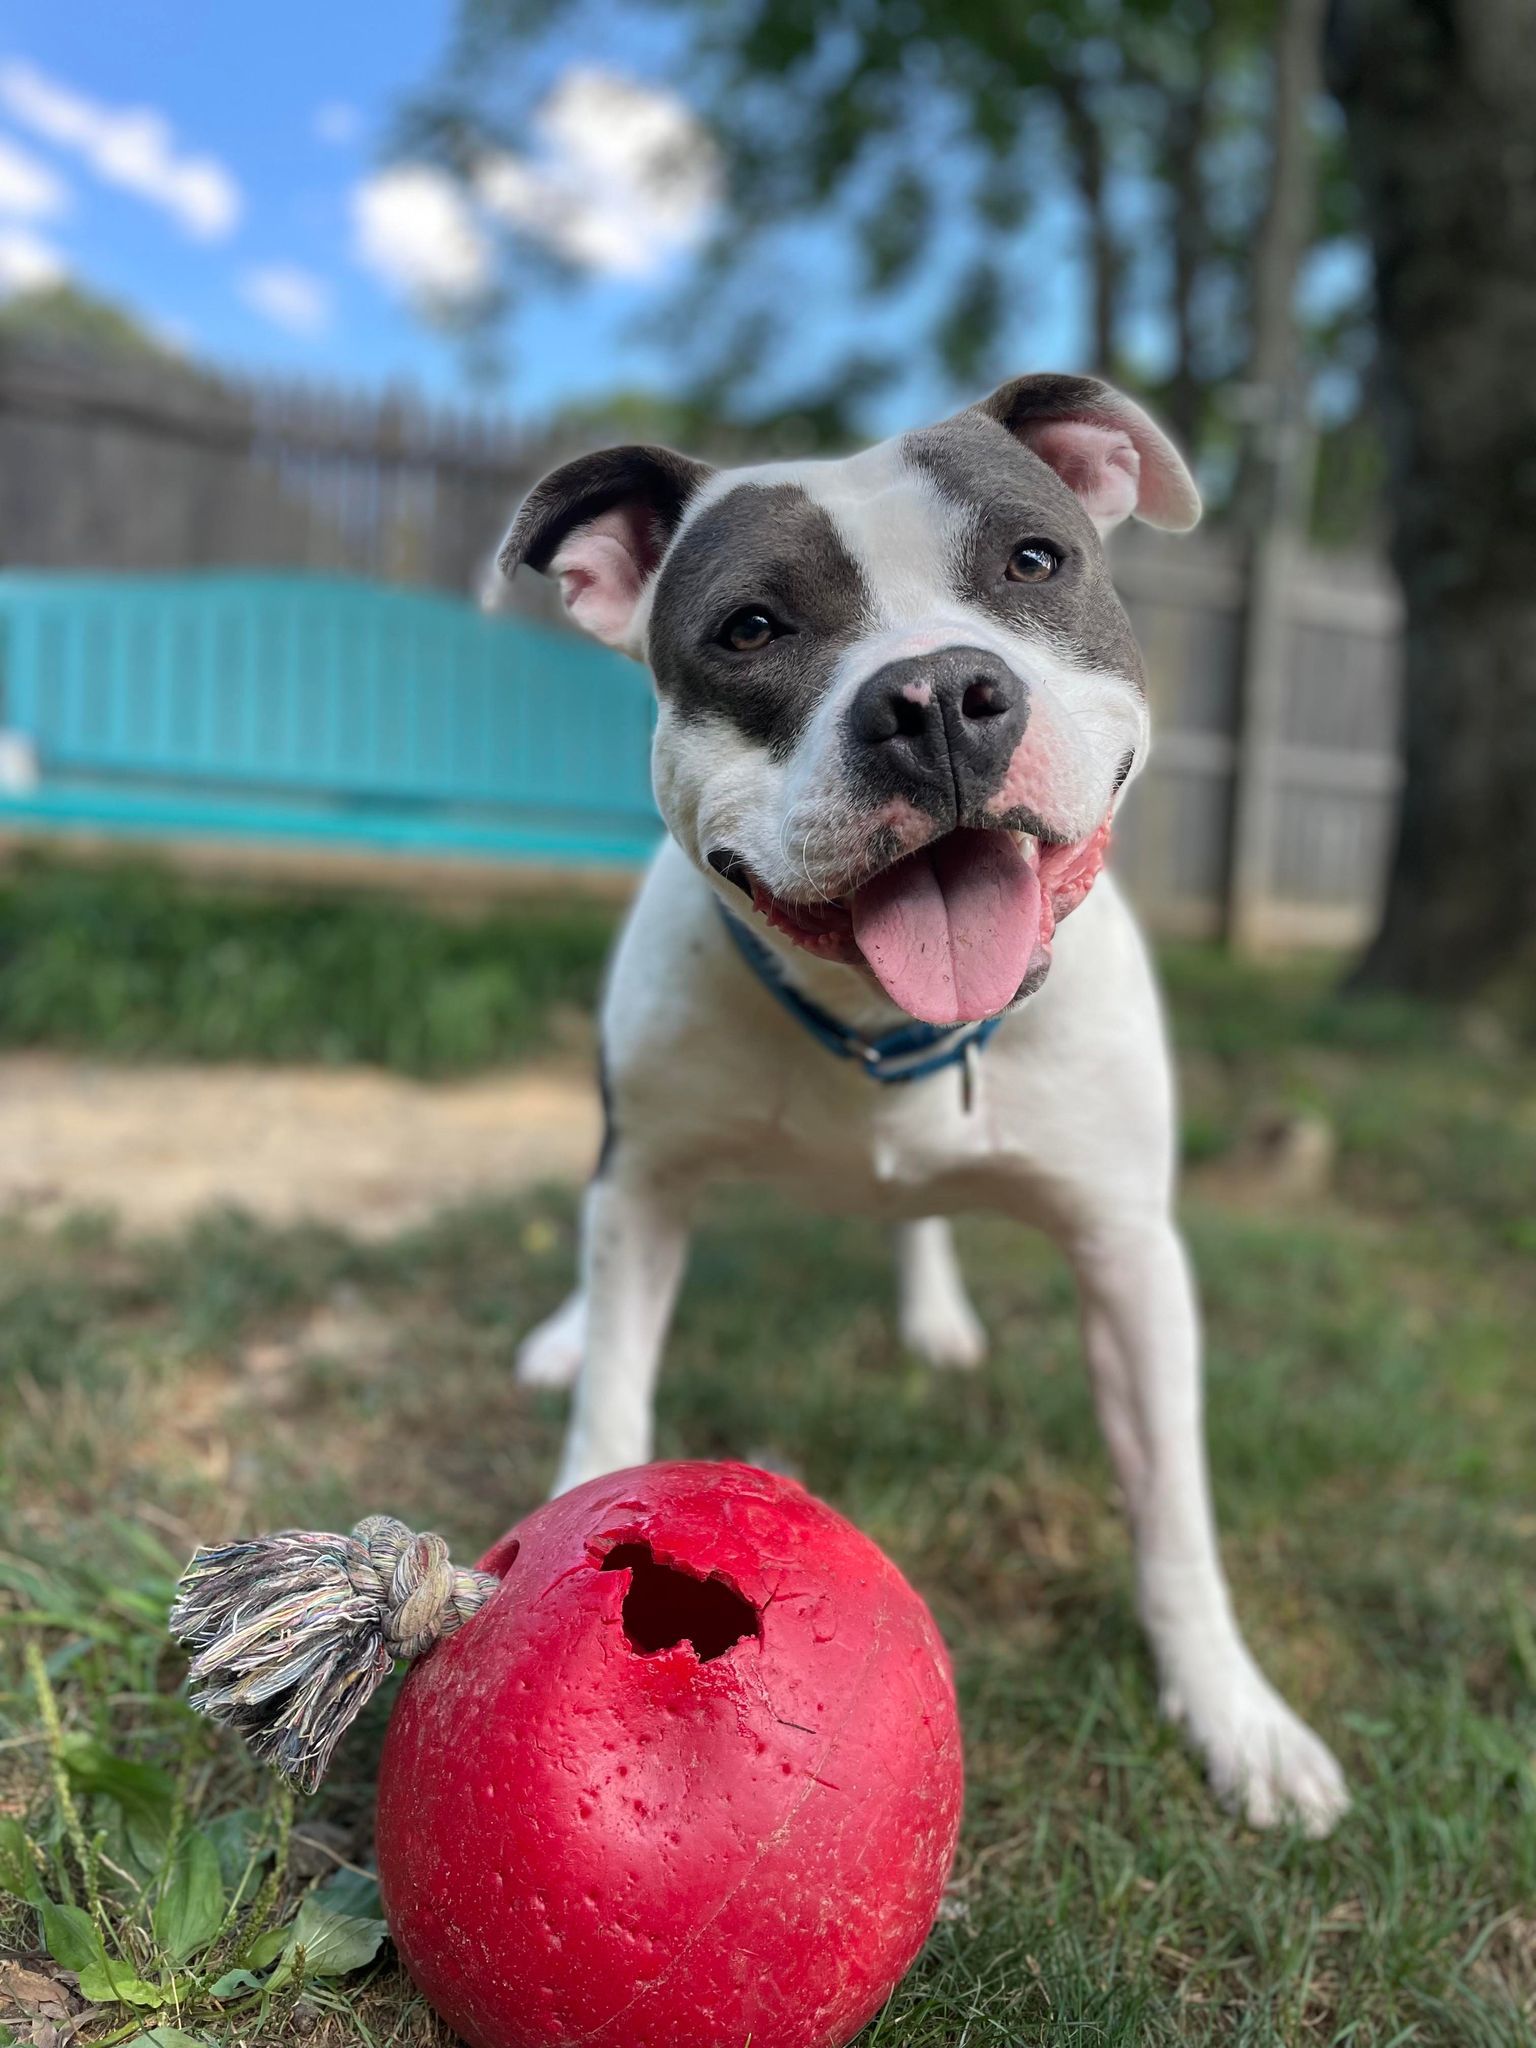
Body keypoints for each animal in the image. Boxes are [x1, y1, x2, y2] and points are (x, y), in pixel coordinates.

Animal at [501, 376, 1343, 1835]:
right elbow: (614, 1390)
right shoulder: (650, 1179)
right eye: (752, 627)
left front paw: (1237, 1715)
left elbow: (1173, 1512)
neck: (882, 1028)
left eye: (1034, 562)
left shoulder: (1130, 1255)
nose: (938, 693)